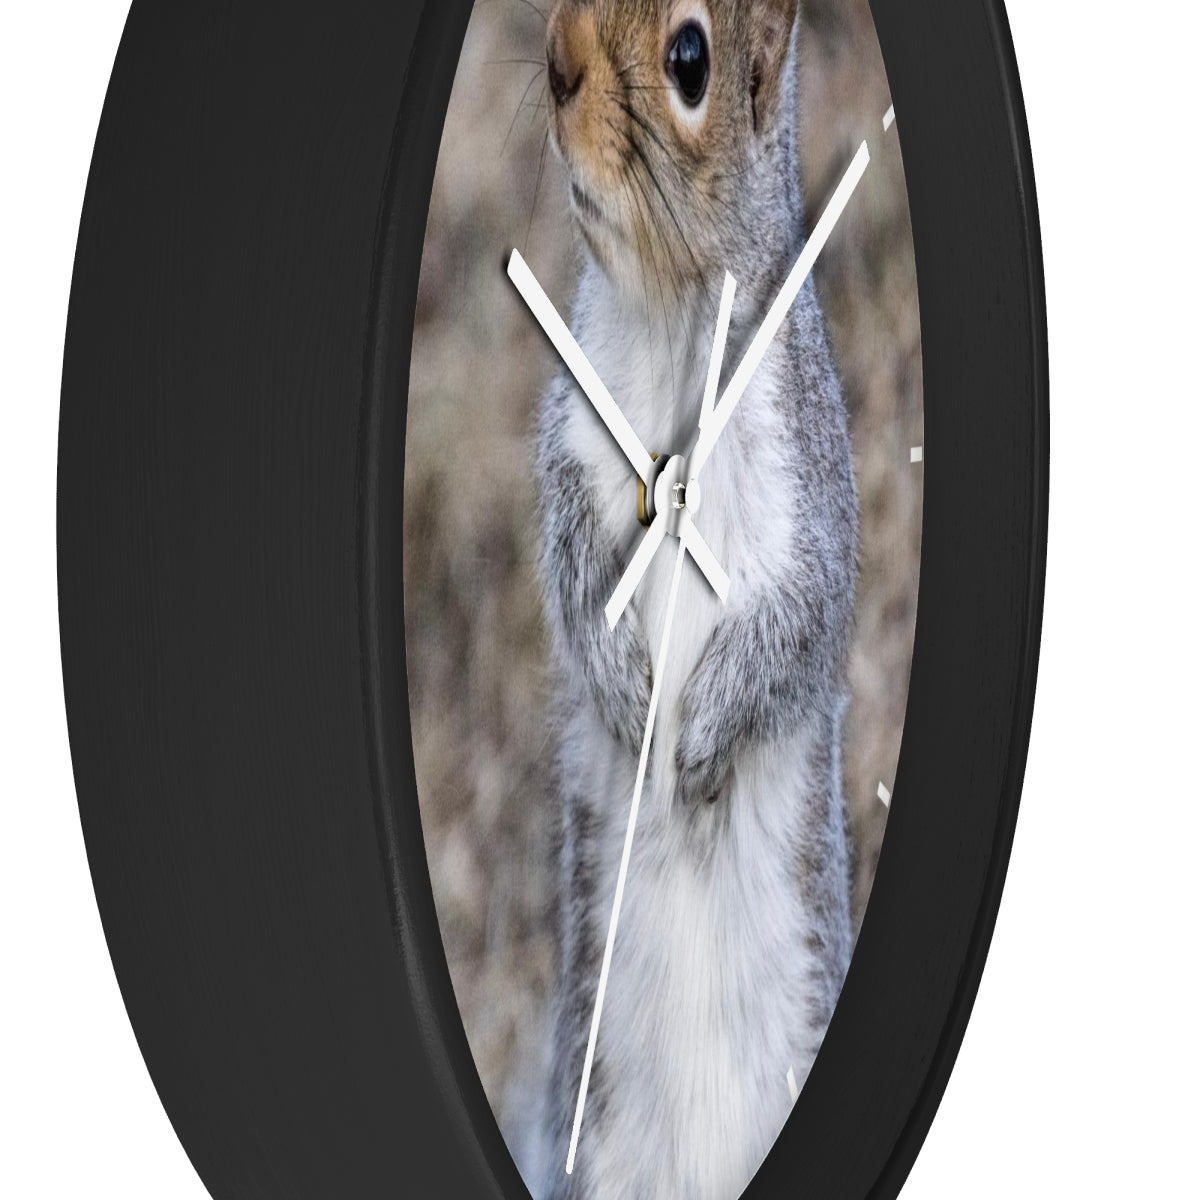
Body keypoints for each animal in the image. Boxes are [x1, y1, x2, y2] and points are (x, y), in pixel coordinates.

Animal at [528, 2, 858, 1196]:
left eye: (688, 61)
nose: (556, 60)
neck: (672, 315)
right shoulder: (573, 439)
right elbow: (574, 562)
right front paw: (631, 698)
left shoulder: (811, 492)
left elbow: (799, 624)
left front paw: (702, 745)